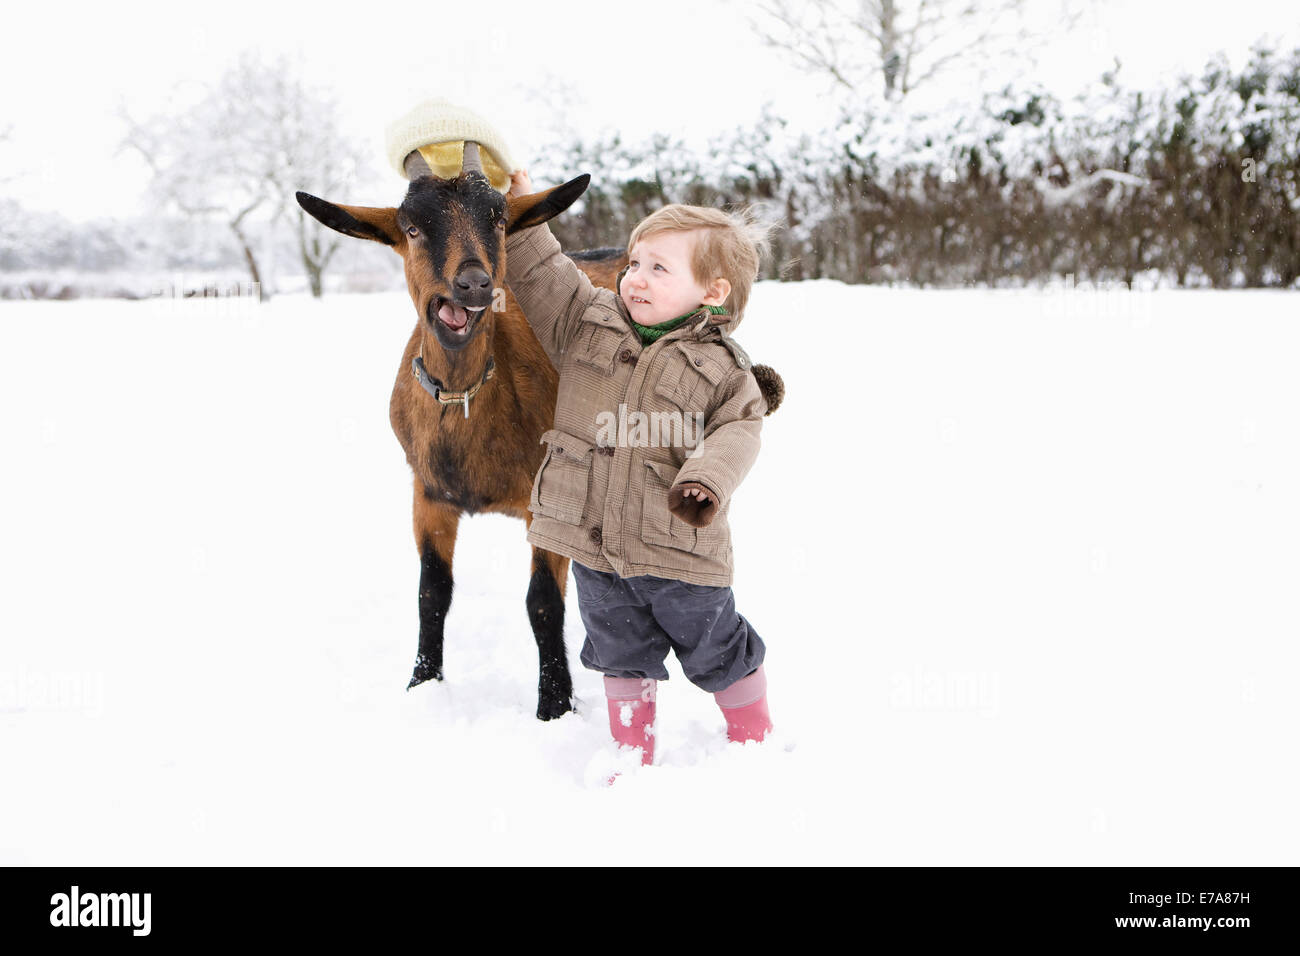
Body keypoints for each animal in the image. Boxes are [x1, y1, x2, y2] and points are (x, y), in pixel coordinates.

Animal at [299, 143, 618, 717]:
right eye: (411, 227)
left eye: (498, 218)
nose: (472, 283)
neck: (466, 402)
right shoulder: (428, 494)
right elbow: (432, 592)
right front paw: (422, 683)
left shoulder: (546, 498)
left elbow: (542, 602)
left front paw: (554, 705)